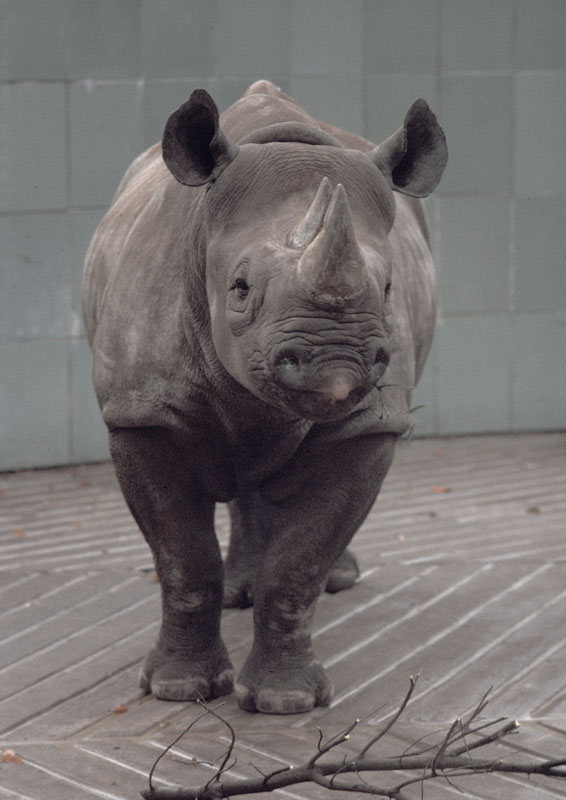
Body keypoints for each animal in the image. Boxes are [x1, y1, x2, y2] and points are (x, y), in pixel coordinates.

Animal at [82, 79, 447, 714]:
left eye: (387, 288)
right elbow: (183, 561)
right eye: (240, 288)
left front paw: (283, 700)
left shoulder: (368, 423)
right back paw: (237, 592)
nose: (336, 364)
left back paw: (335, 581)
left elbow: (299, 566)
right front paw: (178, 689)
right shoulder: (143, 414)